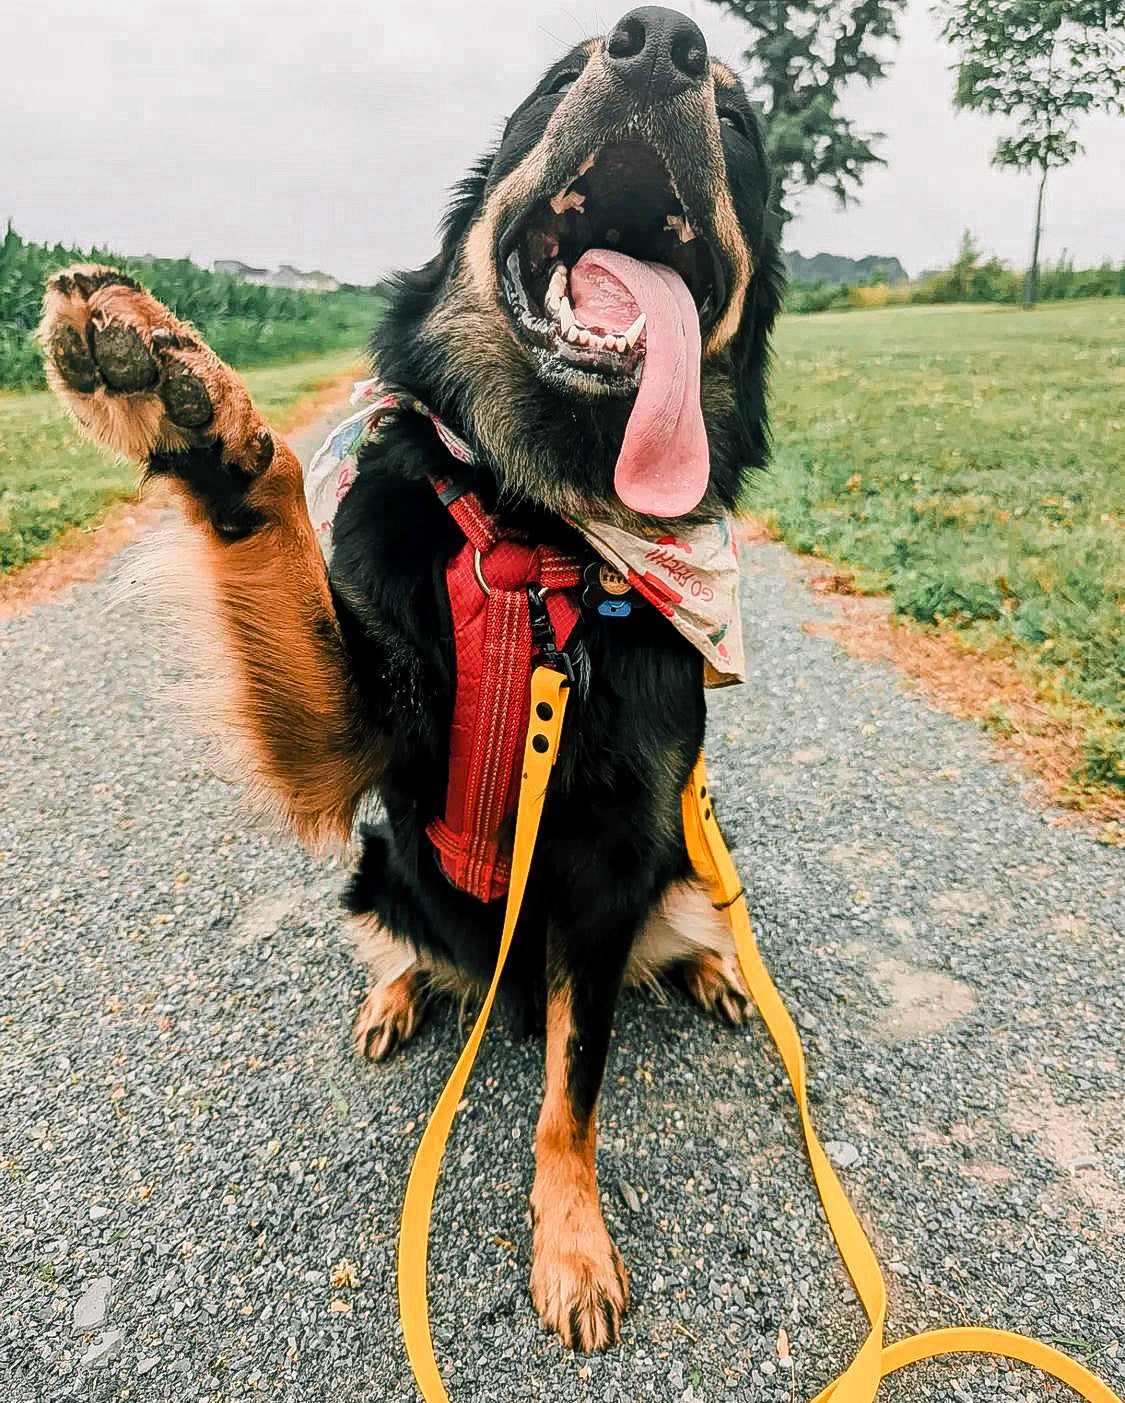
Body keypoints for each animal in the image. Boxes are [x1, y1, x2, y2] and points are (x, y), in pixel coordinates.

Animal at [41, 5, 779, 1352]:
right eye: (557, 74)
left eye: (744, 123)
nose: (662, 41)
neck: (541, 530)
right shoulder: (355, 737)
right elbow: (273, 525)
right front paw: (191, 410)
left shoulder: (611, 868)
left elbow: (573, 1086)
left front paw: (571, 1239)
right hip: (376, 865)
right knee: (398, 937)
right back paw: (397, 989)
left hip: (695, 850)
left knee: (688, 911)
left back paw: (707, 965)